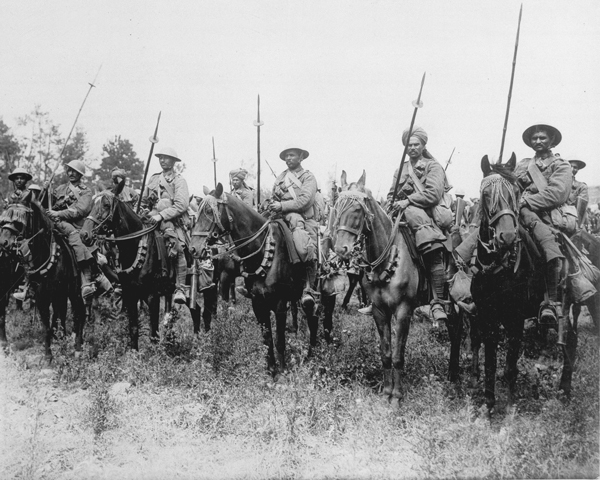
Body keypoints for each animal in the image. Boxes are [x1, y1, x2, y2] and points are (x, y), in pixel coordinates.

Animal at [0, 194, 88, 360]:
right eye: (3, 220)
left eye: (19, 221)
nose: (3, 243)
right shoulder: (42, 297)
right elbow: (47, 325)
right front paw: (49, 355)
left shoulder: (57, 293)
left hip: (75, 292)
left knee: (79, 312)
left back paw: (78, 347)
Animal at [81, 184, 214, 348]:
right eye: (92, 204)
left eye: (106, 205)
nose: (84, 235)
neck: (135, 246)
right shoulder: (130, 295)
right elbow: (133, 329)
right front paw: (134, 353)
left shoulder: (152, 297)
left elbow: (153, 334)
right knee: (196, 311)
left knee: (202, 311)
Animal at [190, 184, 318, 376]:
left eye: (209, 211)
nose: (193, 248)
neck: (264, 251)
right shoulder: (258, 303)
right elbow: (267, 340)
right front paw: (271, 370)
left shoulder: (280, 305)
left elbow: (279, 341)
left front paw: (282, 371)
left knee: (312, 316)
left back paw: (313, 353)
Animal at [328, 172, 464, 404]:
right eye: (337, 208)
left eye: (357, 210)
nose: (341, 249)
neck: (388, 257)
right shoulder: (379, 311)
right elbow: (386, 353)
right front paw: (386, 393)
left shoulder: (403, 312)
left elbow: (399, 356)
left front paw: (397, 397)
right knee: (454, 330)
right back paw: (452, 374)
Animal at [472, 155, 580, 416]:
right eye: (486, 194)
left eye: (515, 193)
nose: (507, 237)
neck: (499, 269)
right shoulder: (488, 316)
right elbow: (490, 363)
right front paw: (488, 407)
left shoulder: (515, 319)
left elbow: (511, 366)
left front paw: (510, 409)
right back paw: (563, 390)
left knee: (571, 341)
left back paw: (564, 392)